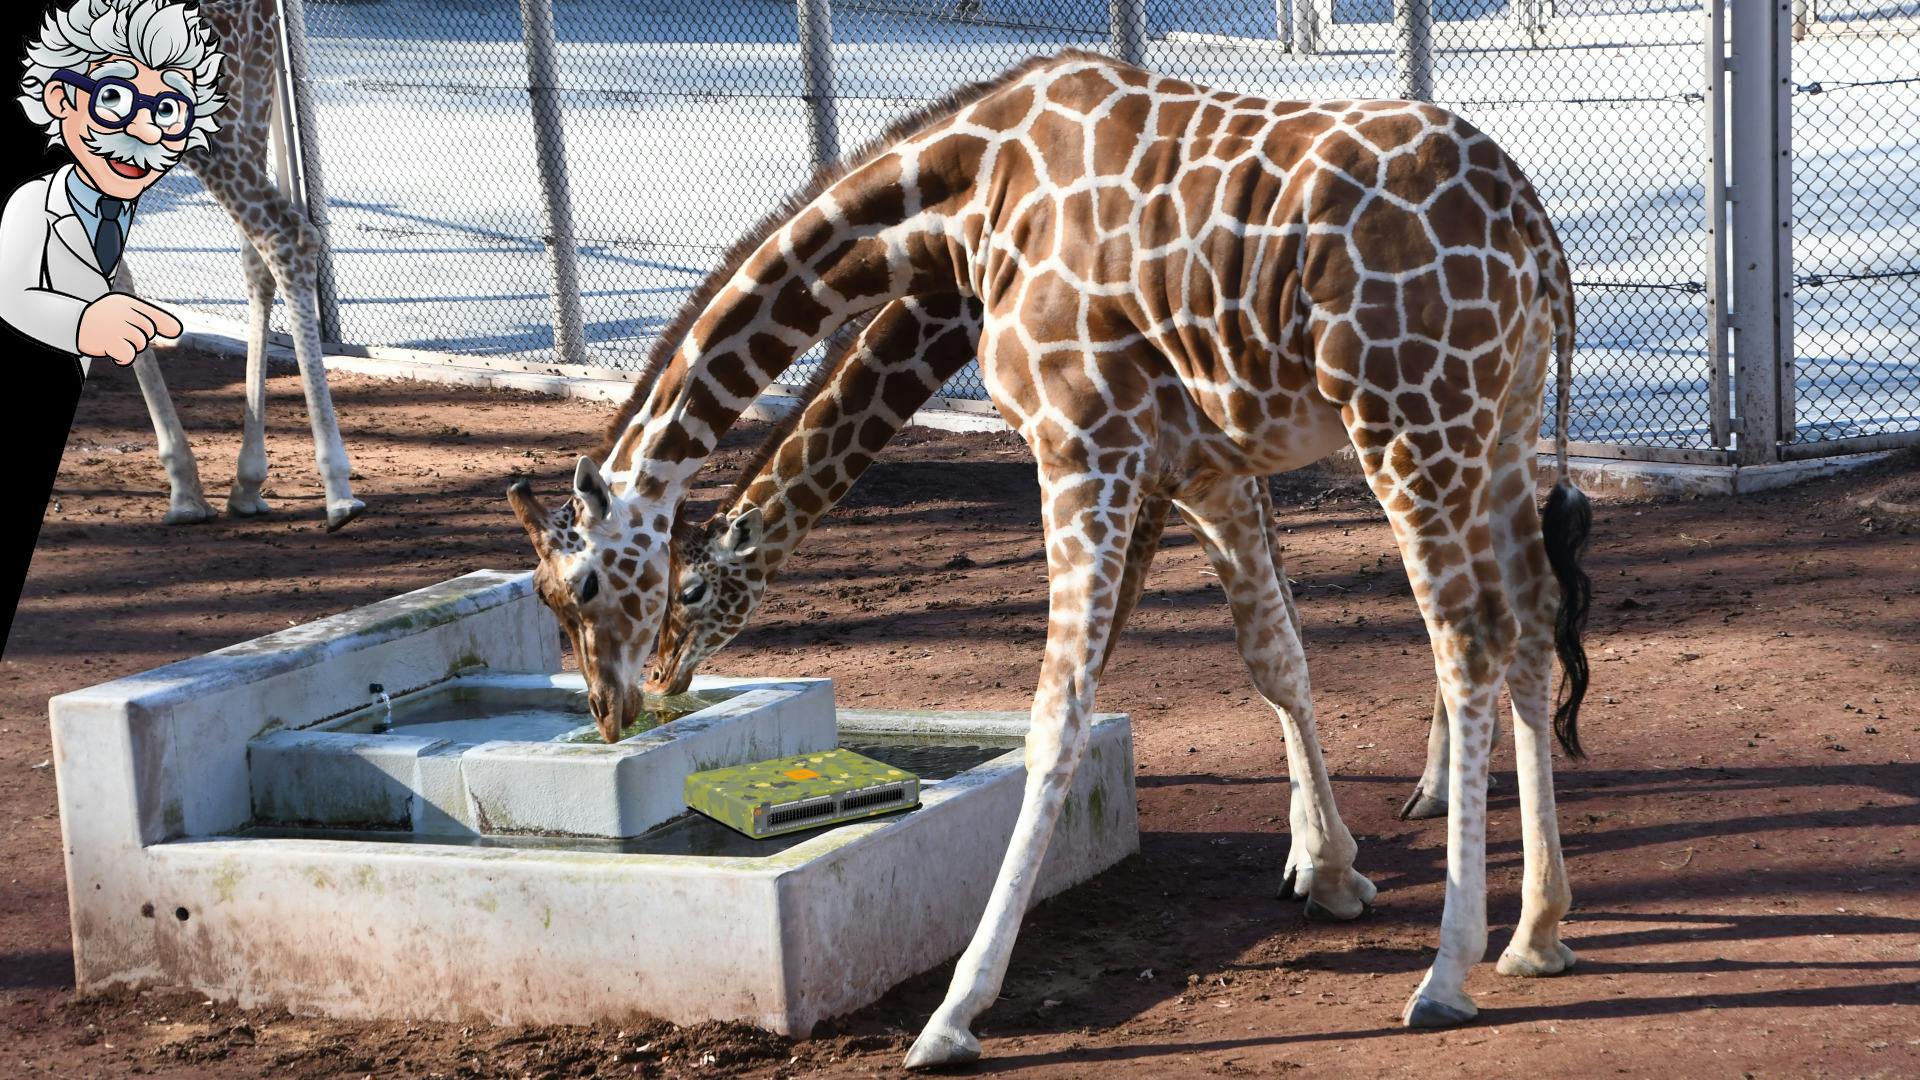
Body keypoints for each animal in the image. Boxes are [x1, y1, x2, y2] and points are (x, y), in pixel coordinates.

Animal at [127, 0, 363, 531]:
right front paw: (187, 488)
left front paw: (184, 488)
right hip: (252, 88)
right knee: (257, 257)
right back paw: (249, 483)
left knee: (283, 235)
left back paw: (337, 489)